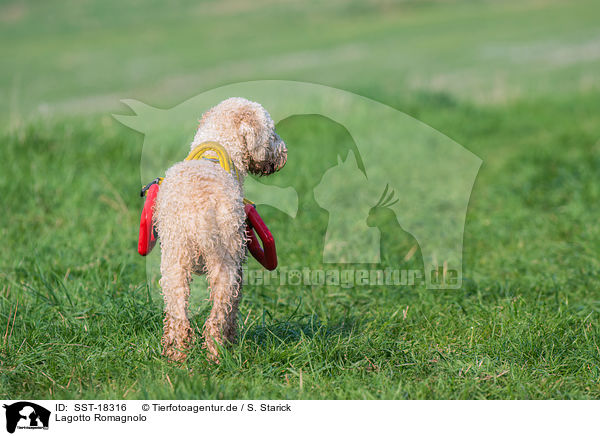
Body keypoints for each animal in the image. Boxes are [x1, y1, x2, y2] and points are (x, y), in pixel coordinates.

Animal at [155, 98, 286, 362]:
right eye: (272, 132)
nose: (284, 152)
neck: (215, 152)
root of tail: (198, 213)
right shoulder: (239, 266)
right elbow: (232, 312)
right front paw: (232, 340)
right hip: (225, 264)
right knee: (217, 318)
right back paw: (218, 355)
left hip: (174, 263)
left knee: (178, 318)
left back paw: (176, 357)